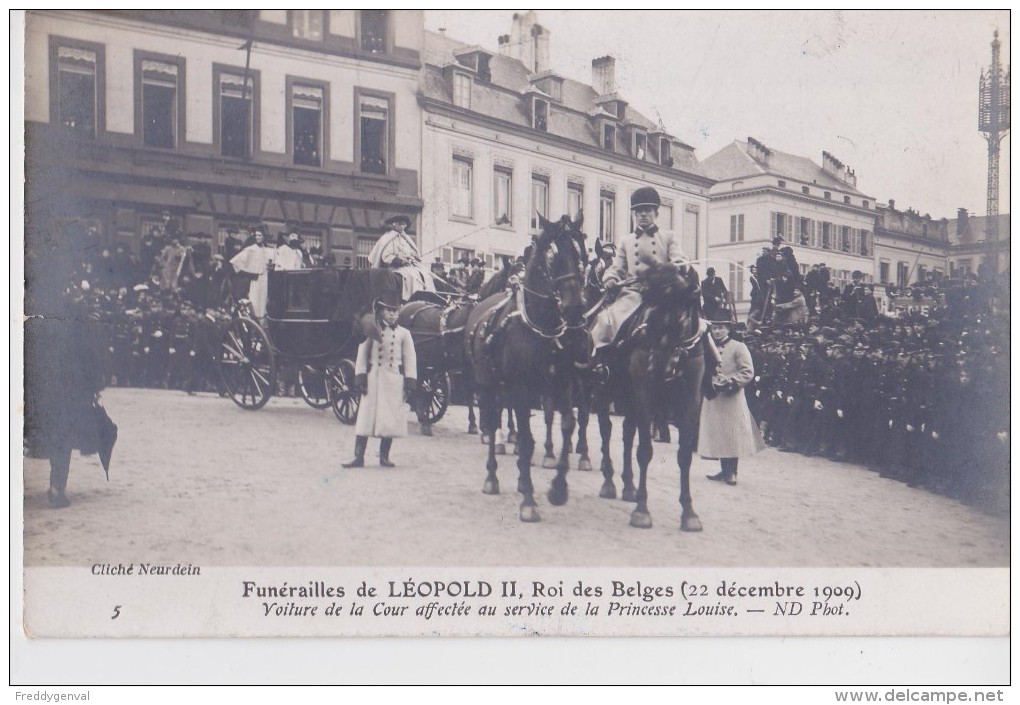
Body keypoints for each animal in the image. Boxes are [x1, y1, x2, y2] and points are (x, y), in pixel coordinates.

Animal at [465, 212, 587, 520]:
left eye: (581, 252)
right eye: (552, 256)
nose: (575, 307)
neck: (543, 327)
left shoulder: (562, 384)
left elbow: (567, 425)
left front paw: (558, 489)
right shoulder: (522, 388)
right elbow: (527, 438)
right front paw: (529, 501)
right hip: (487, 384)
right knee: (492, 419)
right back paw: (492, 477)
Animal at [595, 261, 709, 530]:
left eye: (680, 317)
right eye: (650, 313)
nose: (659, 368)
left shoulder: (690, 399)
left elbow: (685, 453)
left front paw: (689, 512)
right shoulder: (645, 393)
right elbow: (645, 450)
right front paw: (642, 510)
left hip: (629, 399)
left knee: (627, 434)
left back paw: (629, 486)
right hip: (605, 392)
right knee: (606, 430)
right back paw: (609, 482)